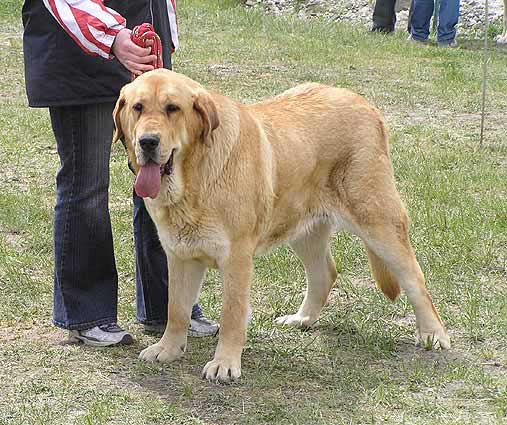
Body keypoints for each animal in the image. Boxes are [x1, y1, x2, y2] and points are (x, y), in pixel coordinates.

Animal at [113, 68, 450, 380]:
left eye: (173, 108)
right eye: (138, 107)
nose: (147, 141)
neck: (193, 180)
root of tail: (365, 104)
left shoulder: (236, 259)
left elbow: (232, 314)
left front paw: (225, 363)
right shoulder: (180, 256)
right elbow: (177, 309)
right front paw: (168, 349)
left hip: (378, 222)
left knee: (415, 278)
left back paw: (433, 334)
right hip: (303, 229)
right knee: (324, 274)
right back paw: (302, 319)